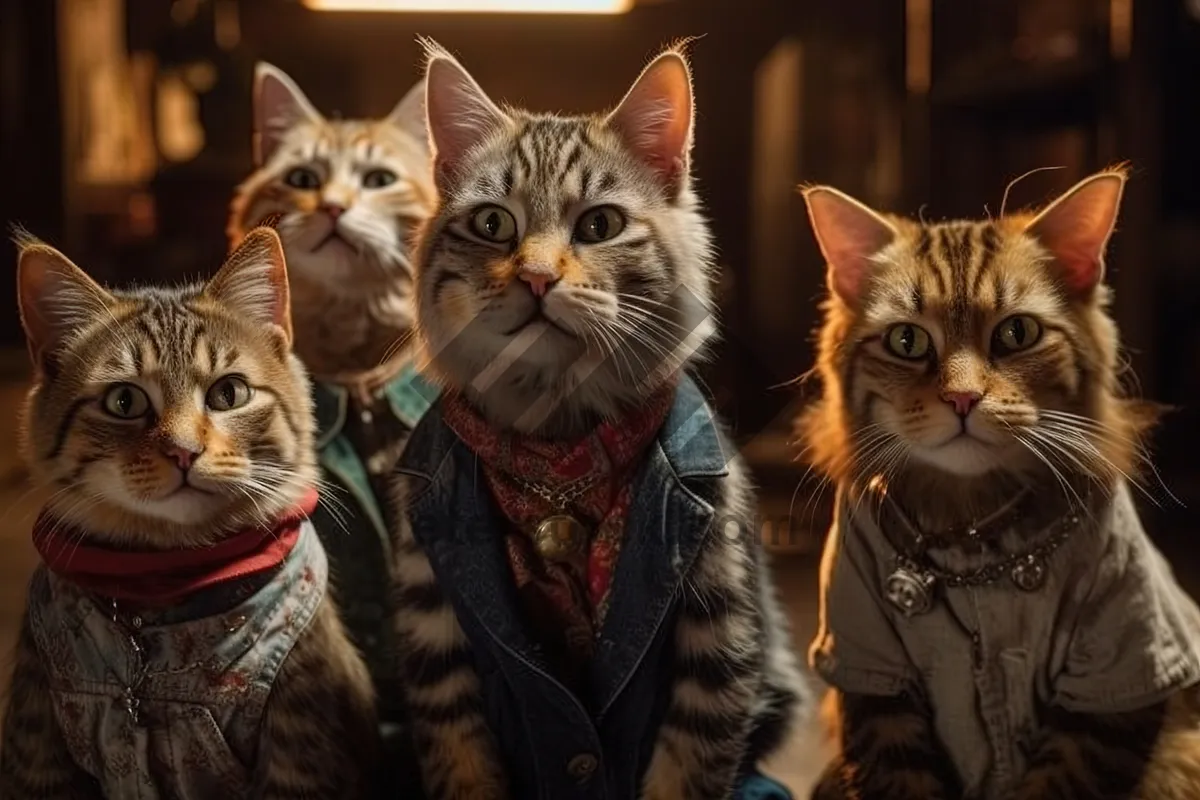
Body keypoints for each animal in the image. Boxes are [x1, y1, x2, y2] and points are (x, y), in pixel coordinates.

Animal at [0, 226, 374, 800]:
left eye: (229, 393)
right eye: (125, 402)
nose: (183, 451)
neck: (164, 587)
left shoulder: (301, 739)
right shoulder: (37, 737)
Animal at [801, 165, 1200, 796]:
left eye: (1016, 334)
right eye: (907, 341)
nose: (963, 399)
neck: (971, 532)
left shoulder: (1117, 673)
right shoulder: (871, 670)